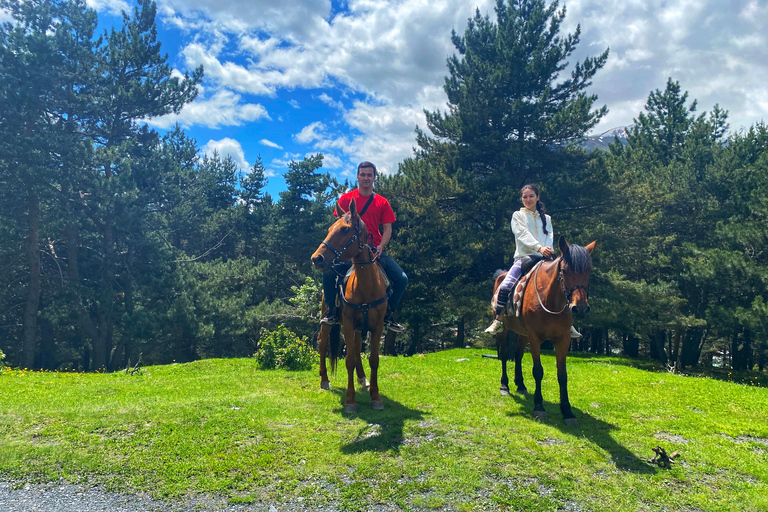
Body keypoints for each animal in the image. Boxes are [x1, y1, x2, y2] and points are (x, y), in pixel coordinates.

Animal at [308, 198, 388, 414]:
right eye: (330, 229)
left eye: (345, 230)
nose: (316, 258)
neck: (366, 285)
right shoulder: (349, 322)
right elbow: (349, 359)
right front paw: (350, 400)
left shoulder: (377, 326)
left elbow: (373, 359)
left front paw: (375, 397)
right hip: (328, 318)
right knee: (323, 342)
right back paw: (324, 379)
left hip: (359, 327)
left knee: (357, 347)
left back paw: (362, 378)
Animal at [492, 235, 592, 424]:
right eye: (565, 271)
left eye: (589, 272)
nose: (580, 308)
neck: (550, 299)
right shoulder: (535, 337)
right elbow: (538, 371)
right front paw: (539, 406)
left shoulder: (563, 340)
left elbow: (562, 375)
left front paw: (567, 411)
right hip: (505, 330)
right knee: (504, 353)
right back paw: (504, 385)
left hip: (522, 333)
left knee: (517, 355)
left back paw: (521, 385)